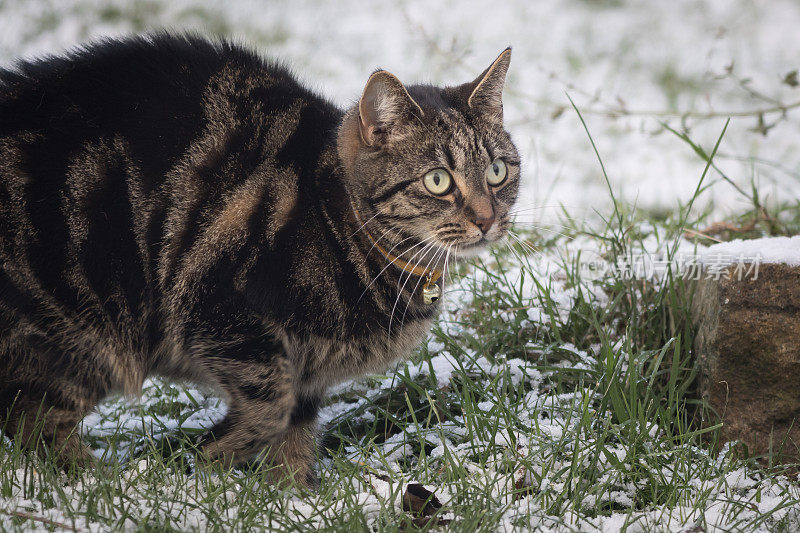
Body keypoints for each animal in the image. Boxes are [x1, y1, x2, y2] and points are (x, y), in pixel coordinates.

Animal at [0, 32, 520, 482]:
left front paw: (294, 498)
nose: (487, 219)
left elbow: (295, 431)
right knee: (29, 419)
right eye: (438, 180)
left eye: (497, 171)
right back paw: (103, 483)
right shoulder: (215, 308)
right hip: (85, 331)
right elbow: (271, 407)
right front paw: (203, 457)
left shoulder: (307, 369)